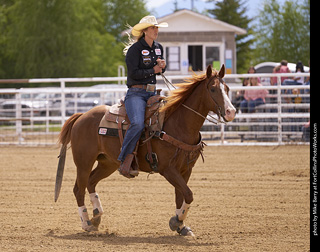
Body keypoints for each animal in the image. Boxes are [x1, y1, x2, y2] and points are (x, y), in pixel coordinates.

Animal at [54, 65, 235, 236]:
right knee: (79, 189)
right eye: (213, 89)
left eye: (227, 88)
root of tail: (82, 116)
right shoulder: (168, 169)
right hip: (84, 162)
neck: (178, 124)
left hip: (108, 163)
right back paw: (86, 223)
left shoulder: (186, 169)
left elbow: (181, 196)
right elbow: (188, 194)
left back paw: (96, 217)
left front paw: (180, 225)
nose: (231, 112)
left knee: (91, 182)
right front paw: (176, 221)